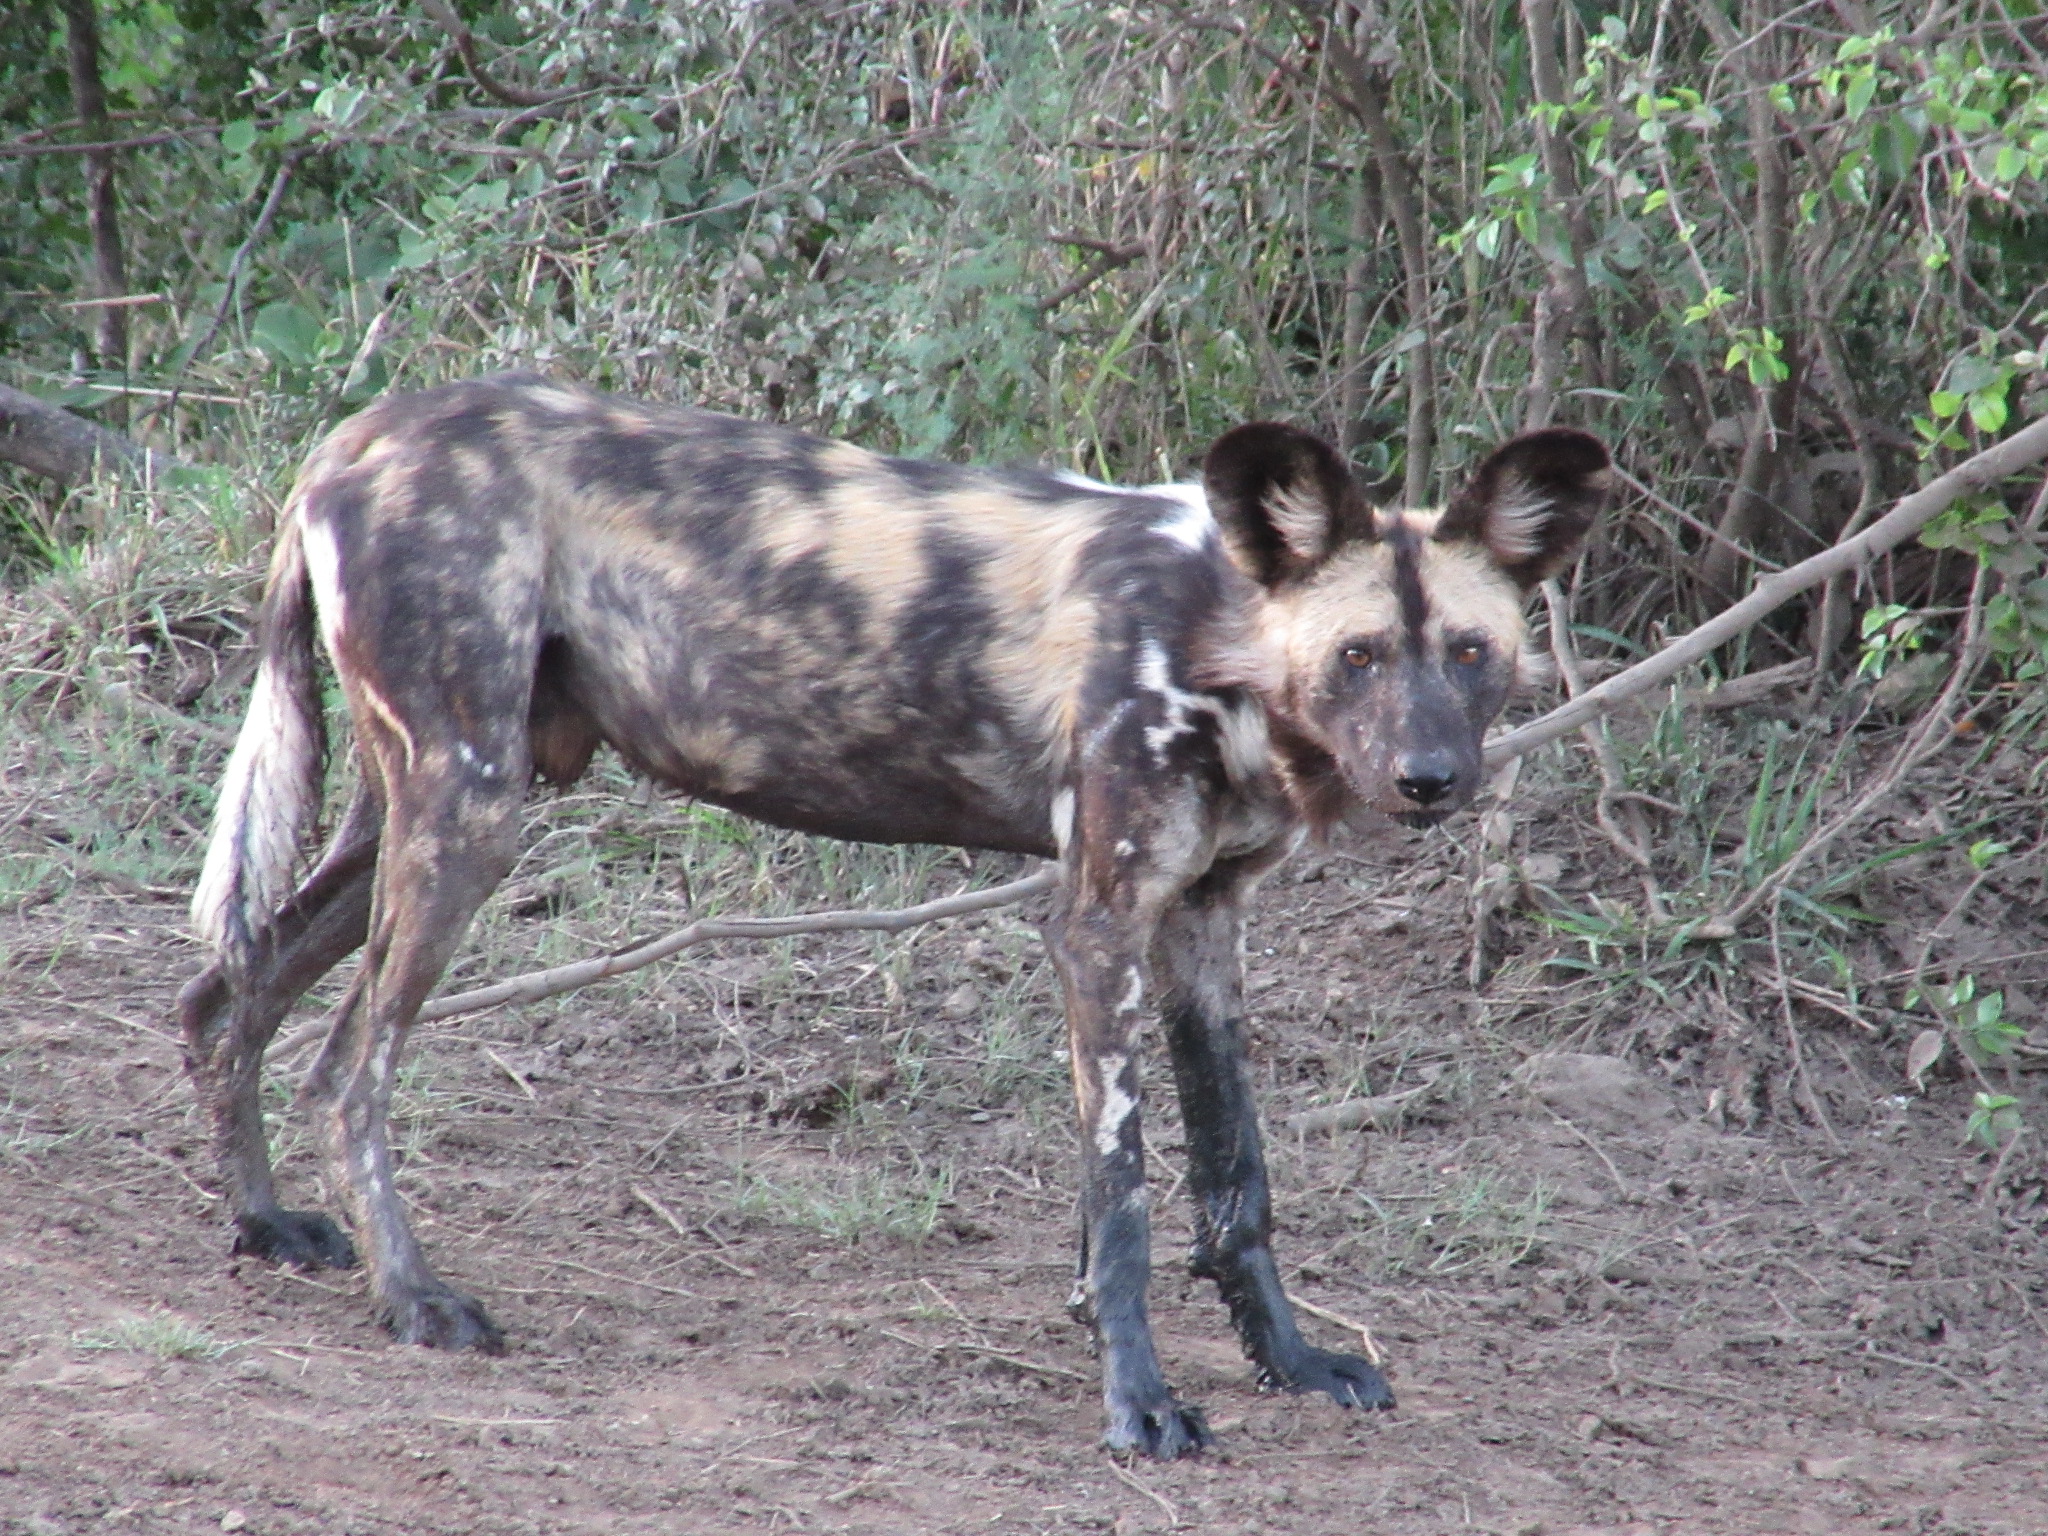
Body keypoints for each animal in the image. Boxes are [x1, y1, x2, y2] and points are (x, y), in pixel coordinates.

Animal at [184, 378, 1605, 1458]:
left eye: (1469, 654)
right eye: (1358, 656)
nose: (1430, 779)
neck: (1223, 635)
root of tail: (357, 436)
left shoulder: (1201, 927)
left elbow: (1233, 1181)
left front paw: (1293, 1360)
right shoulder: (1097, 924)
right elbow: (1126, 1199)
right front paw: (1138, 1405)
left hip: (428, 813)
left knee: (224, 993)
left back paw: (264, 1226)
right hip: (470, 821)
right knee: (346, 1066)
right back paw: (414, 1298)